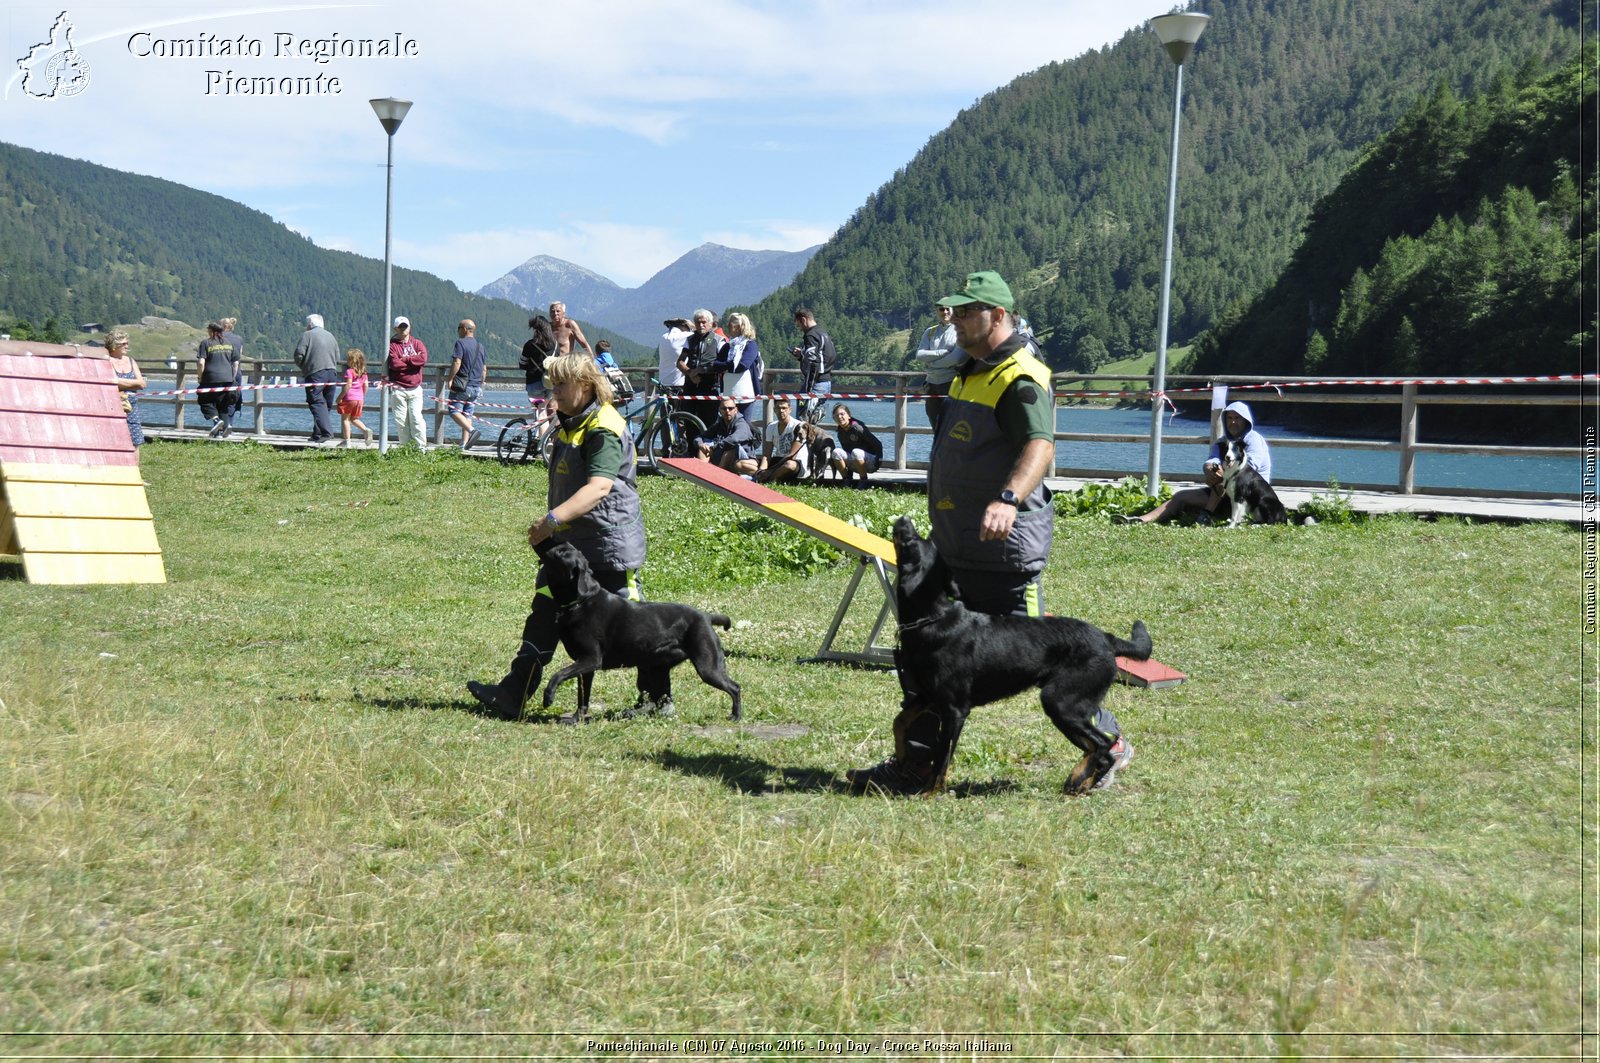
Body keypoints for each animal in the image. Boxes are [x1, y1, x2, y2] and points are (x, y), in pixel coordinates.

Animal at [534, 541, 739, 723]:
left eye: (561, 553)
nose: (546, 542)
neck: (580, 602)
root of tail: (706, 616)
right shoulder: (585, 667)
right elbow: (582, 697)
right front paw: (577, 719)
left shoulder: (590, 659)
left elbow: (558, 674)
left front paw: (548, 698)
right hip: (656, 668)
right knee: (656, 698)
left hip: (708, 666)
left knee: (735, 687)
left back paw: (736, 716)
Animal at [889, 518, 1152, 794]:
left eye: (911, 542)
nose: (904, 520)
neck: (931, 619)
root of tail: (1107, 638)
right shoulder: (927, 695)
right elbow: (899, 721)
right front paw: (902, 754)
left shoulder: (954, 710)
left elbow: (942, 756)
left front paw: (931, 792)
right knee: (1100, 750)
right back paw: (1082, 782)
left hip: (1060, 701)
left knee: (1103, 743)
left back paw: (1078, 776)